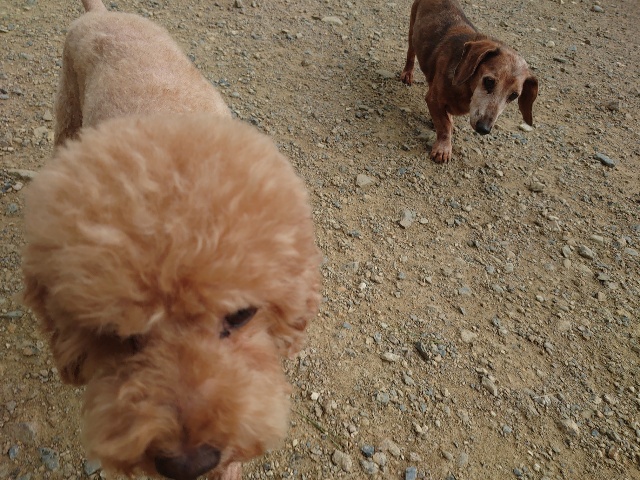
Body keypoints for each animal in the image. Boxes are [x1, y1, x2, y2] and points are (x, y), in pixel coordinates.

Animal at [400, 0, 539, 163]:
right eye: (489, 81)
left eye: (514, 96)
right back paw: (407, 73)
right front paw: (443, 148)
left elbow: (446, 120)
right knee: (410, 53)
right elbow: (444, 126)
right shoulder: (433, 99)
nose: (484, 129)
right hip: (412, 31)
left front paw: (448, 122)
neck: (467, 88)